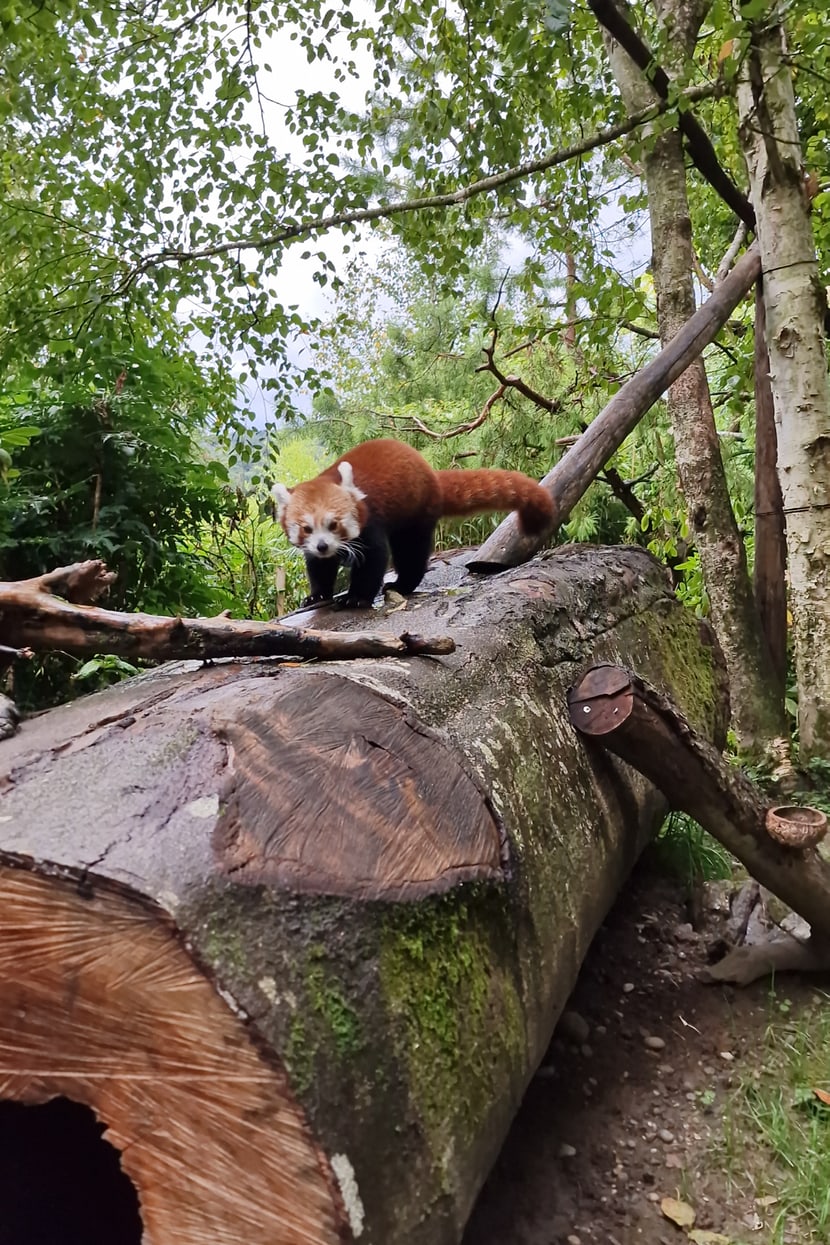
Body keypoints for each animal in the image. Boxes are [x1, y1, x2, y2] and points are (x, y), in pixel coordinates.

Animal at [273, 440, 557, 610]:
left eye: (334, 524)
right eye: (306, 528)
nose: (323, 546)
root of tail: (432, 476)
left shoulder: (371, 522)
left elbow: (374, 560)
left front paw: (356, 597)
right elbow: (319, 568)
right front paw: (318, 595)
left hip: (415, 513)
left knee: (410, 553)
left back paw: (401, 585)